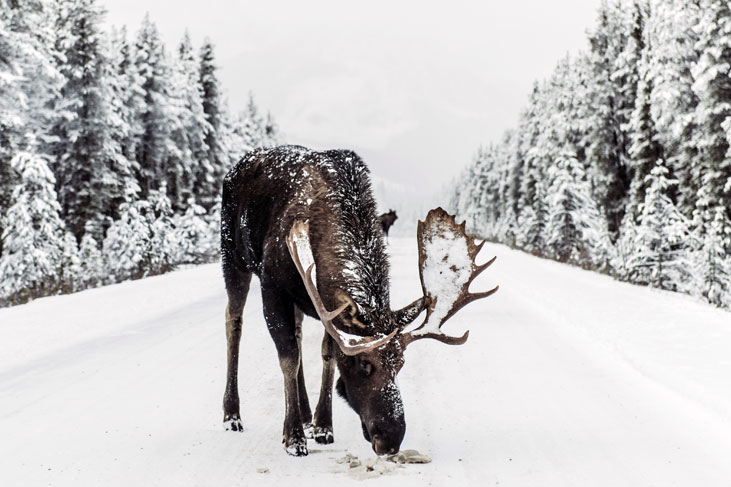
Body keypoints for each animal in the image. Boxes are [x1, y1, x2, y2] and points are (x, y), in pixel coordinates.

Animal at [220, 146, 500, 458]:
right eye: (365, 364)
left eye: (400, 363)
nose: (391, 439)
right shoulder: (272, 284)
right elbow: (288, 357)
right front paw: (293, 437)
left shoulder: (325, 305)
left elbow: (327, 354)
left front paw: (323, 425)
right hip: (233, 257)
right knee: (234, 322)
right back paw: (232, 415)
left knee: (298, 332)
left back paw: (305, 415)